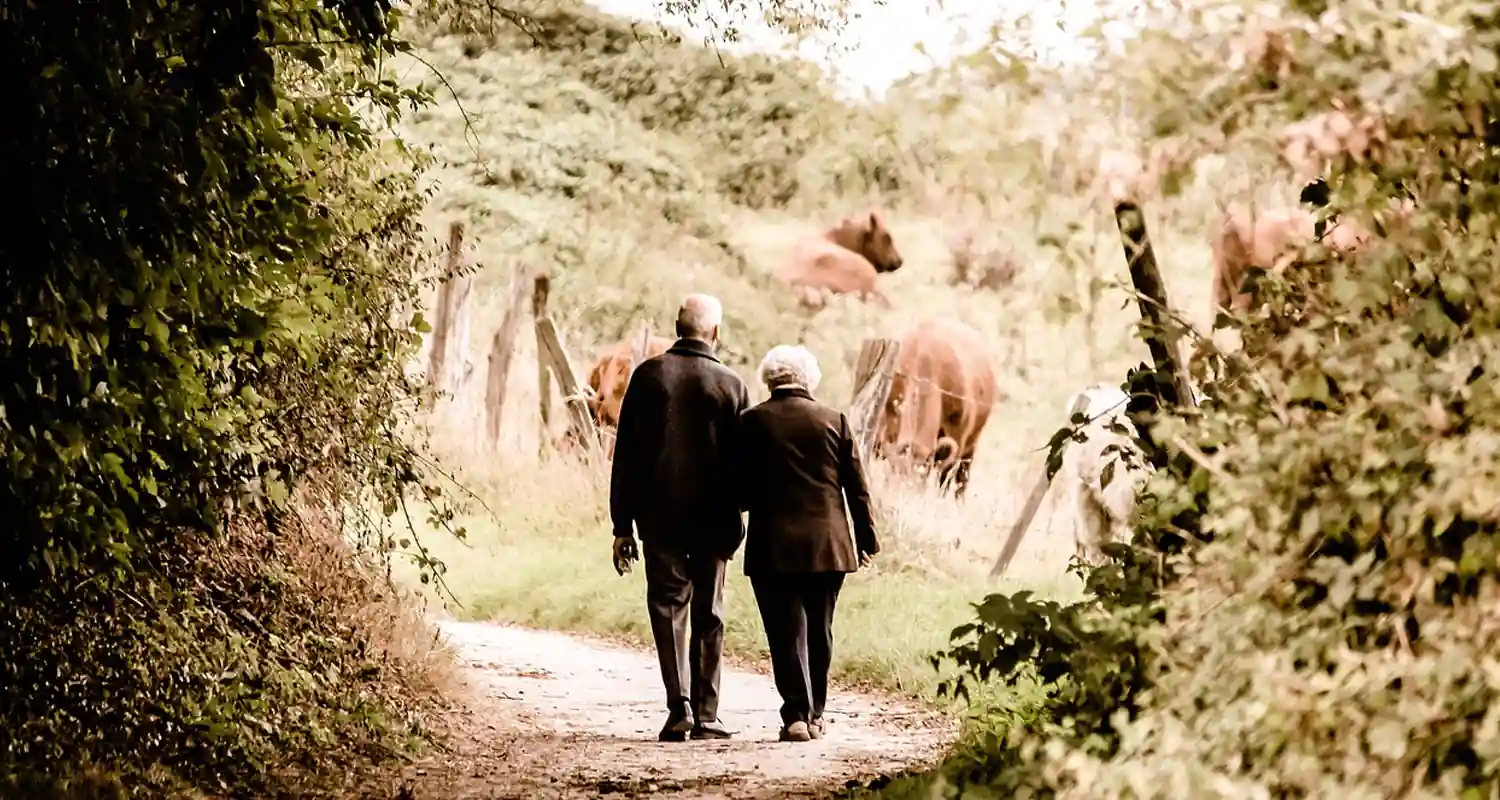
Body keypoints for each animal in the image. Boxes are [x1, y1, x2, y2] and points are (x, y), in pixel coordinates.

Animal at [876, 316, 1002, 492]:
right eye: (895, 474)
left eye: (919, 481)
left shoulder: (958, 438)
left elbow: (945, 480)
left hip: (971, 445)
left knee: (961, 480)